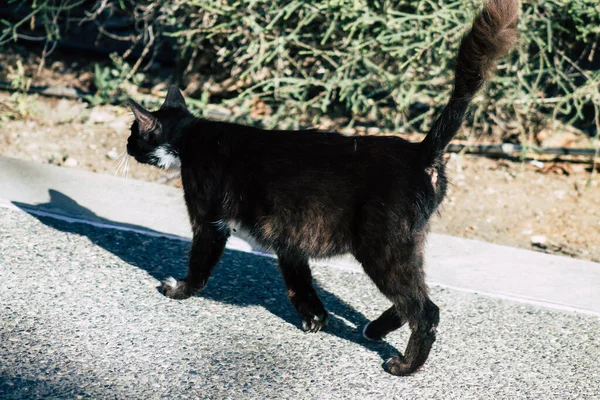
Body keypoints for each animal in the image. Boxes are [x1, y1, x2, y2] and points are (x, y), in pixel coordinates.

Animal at [125, 0, 516, 376]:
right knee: (414, 297)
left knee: (425, 310)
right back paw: (375, 328)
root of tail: (420, 150)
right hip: (408, 242)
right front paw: (315, 317)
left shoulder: (208, 221)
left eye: (133, 132)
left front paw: (178, 290)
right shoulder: (288, 235)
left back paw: (404, 366)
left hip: (381, 247)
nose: (127, 145)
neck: (190, 138)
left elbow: (200, 264)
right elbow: (299, 280)